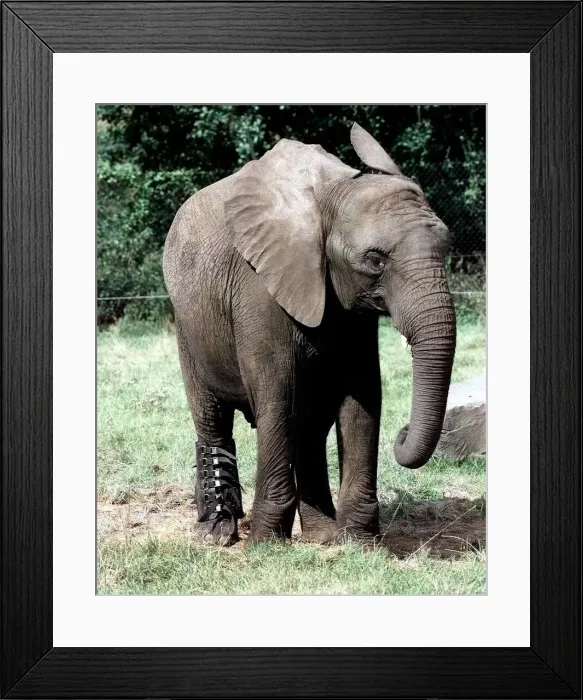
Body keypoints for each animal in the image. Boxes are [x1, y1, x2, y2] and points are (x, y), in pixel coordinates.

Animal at [163, 122, 456, 546]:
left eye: (448, 248)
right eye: (374, 261)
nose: (401, 438)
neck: (335, 191)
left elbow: (363, 395)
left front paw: (361, 542)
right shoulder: (259, 287)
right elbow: (278, 394)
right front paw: (265, 545)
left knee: (309, 426)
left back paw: (321, 534)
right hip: (188, 324)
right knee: (213, 415)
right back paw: (218, 532)